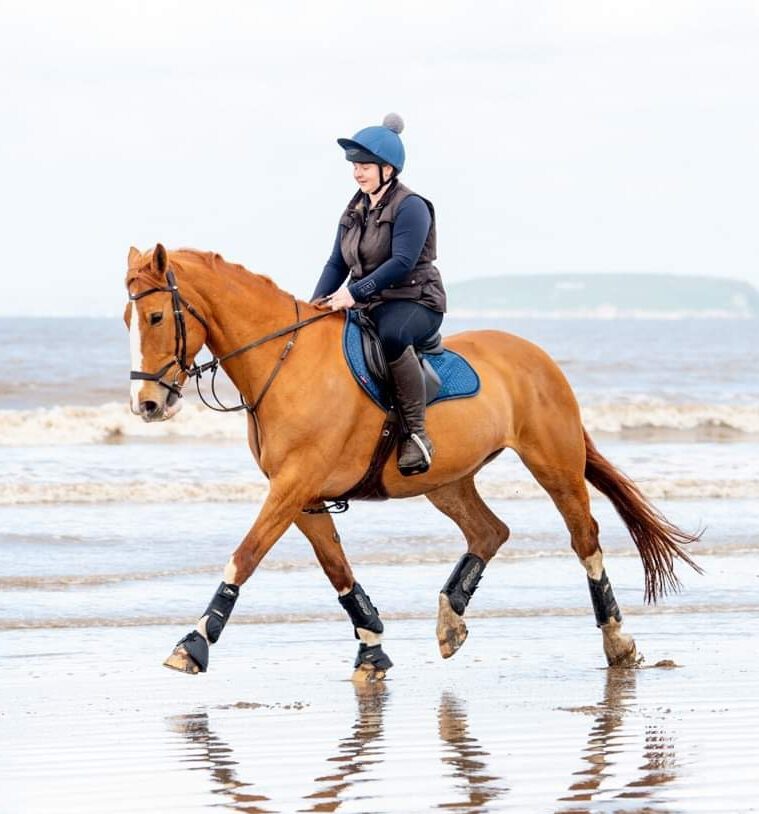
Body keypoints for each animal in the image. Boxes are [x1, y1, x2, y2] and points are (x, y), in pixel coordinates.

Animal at [123, 244, 700, 684]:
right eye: (128, 319)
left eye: (155, 316)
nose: (146, 405)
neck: (284, 363)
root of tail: (537, 356)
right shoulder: (303, 496)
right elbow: (337, 569)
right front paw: (372, 648)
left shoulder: (292, 486)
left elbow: (245, 556)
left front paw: (194, 643)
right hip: (447, 480)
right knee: (489, 531)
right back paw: (451, 621)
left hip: (553, 464)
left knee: (585, 538)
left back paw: (618, 642)